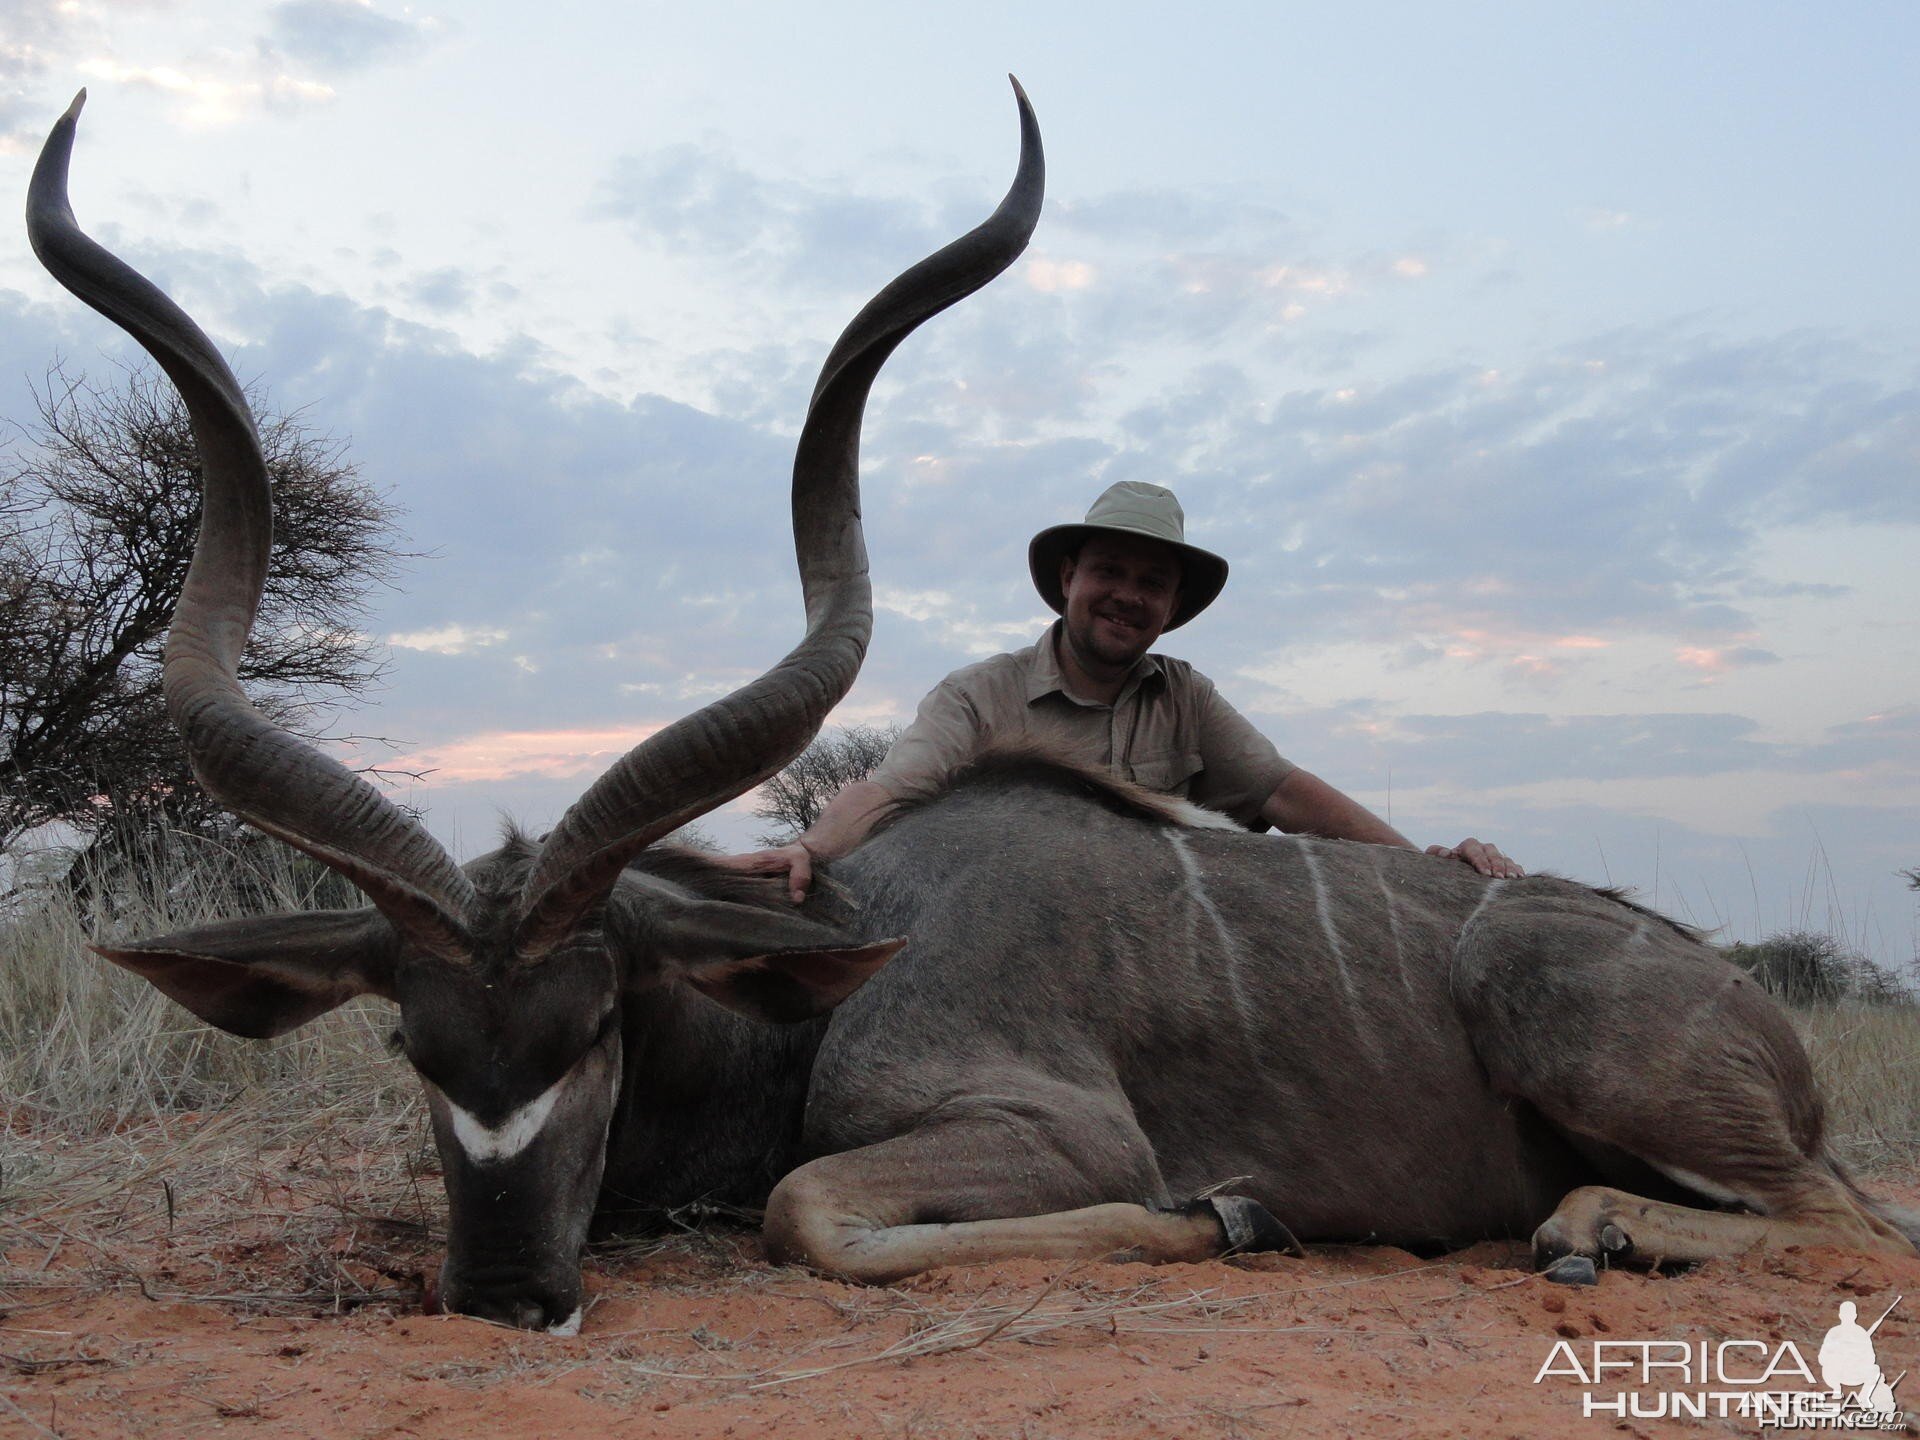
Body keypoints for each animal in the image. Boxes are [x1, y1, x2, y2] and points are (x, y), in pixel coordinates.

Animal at [33, 84, 1920, 1336]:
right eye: (413, 1044)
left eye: (597, 1023)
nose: (505, 1294)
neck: (826, 973)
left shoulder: (1049, 1126)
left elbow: (806, 1207)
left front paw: (1228, 1216)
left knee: (1847, 1215)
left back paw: (1590, 1226)